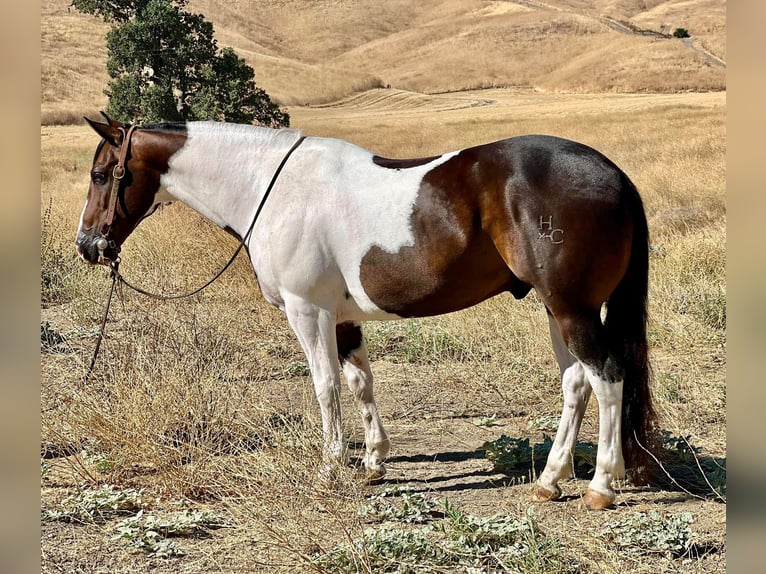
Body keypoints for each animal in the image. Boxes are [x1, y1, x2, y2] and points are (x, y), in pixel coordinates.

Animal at [76, 115, 656, 510]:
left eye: (103, 174)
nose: (88, 246)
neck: (274, 188)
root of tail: (614, 175)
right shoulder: (342, 318)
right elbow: (360, 383)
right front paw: (374, 461)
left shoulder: (307, 312)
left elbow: (325, 386)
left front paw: (331, 467)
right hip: (558, 309)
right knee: (576, 384)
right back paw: (550, 479)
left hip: (572, 309)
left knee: (606, 377)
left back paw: (601, 485)